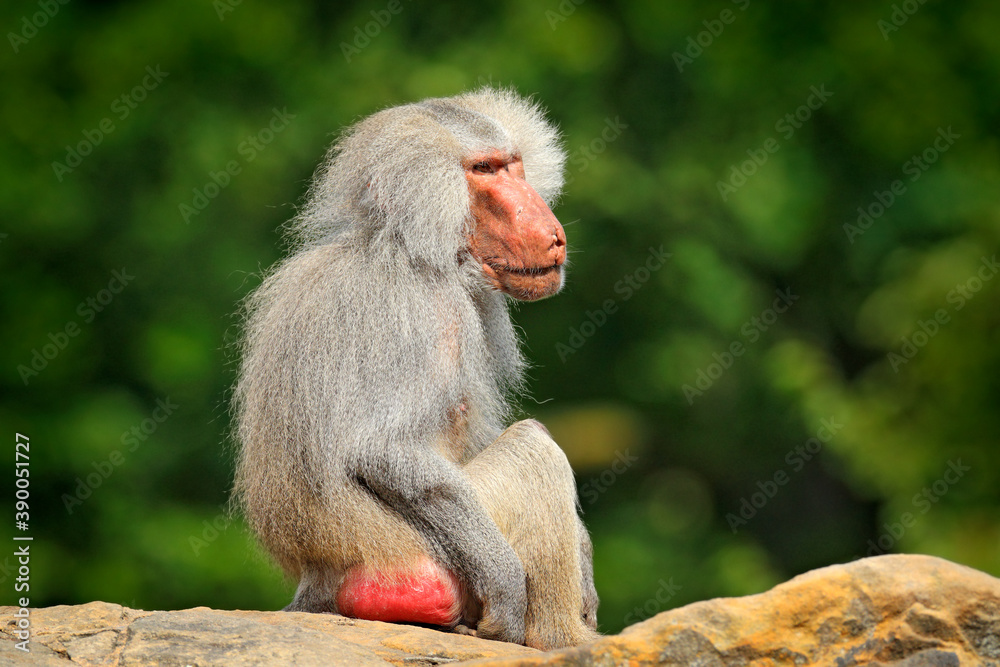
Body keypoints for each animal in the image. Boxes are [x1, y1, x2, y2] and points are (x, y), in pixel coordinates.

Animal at [233, 88, 599, 650]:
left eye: (512, 165)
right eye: (483, 170)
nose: (553, 234)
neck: (407, 247)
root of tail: (319, 581)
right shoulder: (424, 312)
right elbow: (383, 450)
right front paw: (509, 586)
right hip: (420, 558)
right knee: (533, 449)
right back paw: (567, 641)